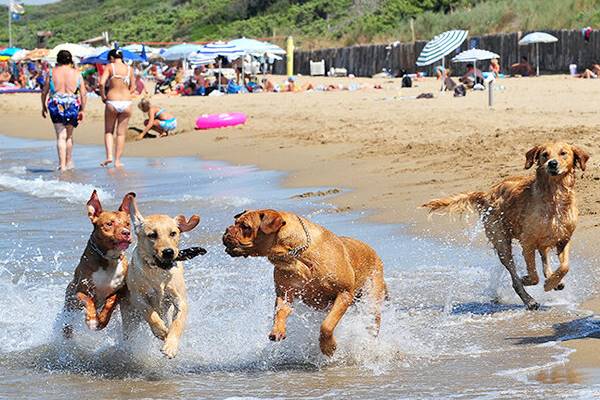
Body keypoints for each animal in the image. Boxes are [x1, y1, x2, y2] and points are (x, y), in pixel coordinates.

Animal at [61, 191, 134, 338]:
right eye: (109, 223)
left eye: (128, 223)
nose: (126, 233)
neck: (108, 258)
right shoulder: (80, 291)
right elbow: (88, 300)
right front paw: (92, 320)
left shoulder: (120, 290)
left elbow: (110, 302)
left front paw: (102, 320)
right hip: (70, 303)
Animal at [119, 195, 204, 358]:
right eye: (152, 235)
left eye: (173, 233)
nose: (168, 252)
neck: (158, 272)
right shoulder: (138, 297)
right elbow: (150, 313)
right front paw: (161, 331)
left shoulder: (180, 300)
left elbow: (177, 324)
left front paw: (170, 346)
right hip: (129, 317)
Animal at [223, 209, 386, 356]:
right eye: (235, 223)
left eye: (245, 226)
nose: (227, 230)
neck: (295, 254)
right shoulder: (285, 293)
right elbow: (280, 311)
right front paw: (277, 329)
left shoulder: (344, 293)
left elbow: (327, 325)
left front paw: (329, 347)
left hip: (372, 298)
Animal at [422, 142, 592, 310]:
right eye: (545, 154)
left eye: (563, 153)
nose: (552, 164)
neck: (554, 196)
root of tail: (486, 194)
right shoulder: (527, 243)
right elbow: (533, 275)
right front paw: (531, 281)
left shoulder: (563, 239)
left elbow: (565, 266)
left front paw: (552, 281)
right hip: (501, 242)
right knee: (514, 275)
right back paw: (529, 300)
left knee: (544, 260)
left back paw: (553, 280)